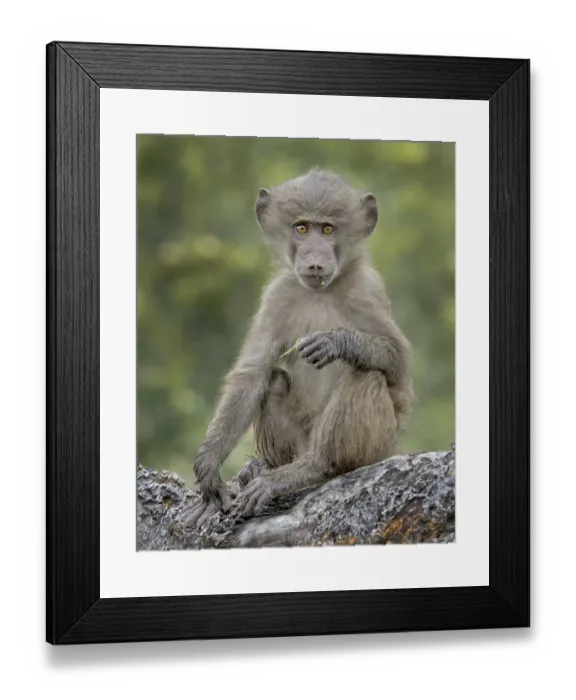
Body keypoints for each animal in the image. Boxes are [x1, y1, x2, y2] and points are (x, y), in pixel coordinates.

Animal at [184, 169, 415, 527]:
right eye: (302, 228)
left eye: (328, 229)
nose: (315, 263)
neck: (321, 292)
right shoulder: (277, 296)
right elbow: (253, 374)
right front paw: (208, 469)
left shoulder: (368, 290)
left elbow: (399, 366)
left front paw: (337, 341)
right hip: (299, 440)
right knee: (275, 380)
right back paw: (264, 467)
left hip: (378, 447)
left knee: (365, 375)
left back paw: (310, 470)